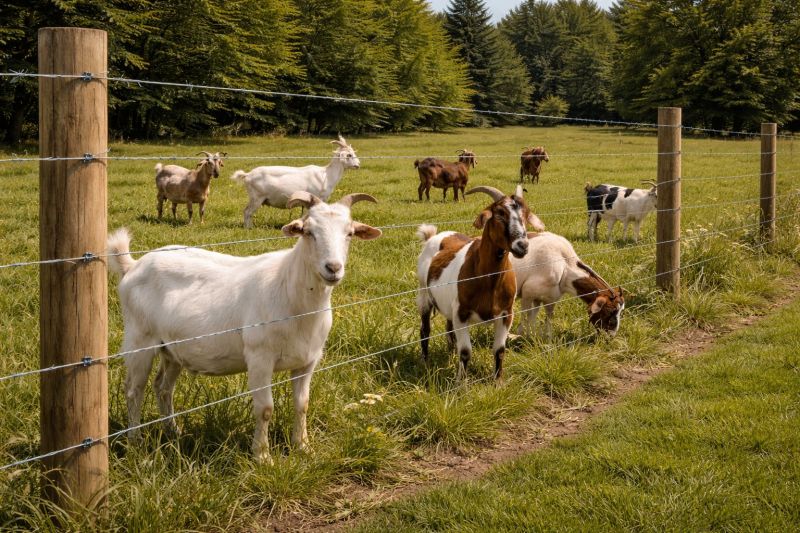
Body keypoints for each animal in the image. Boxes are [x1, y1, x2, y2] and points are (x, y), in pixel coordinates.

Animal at [107, 192, 381, 463]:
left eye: (349, 233)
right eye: (308, 231)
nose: (333, 268)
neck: (289, 289)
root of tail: (132, 266)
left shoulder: (308, 360)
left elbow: (302, 404)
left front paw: (303, 447)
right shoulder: (259, 358)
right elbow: (265, 409)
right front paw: (262, 457)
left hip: (172, 349)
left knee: (163, 388)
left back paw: (173, 431)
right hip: (140, 340)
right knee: (134, 390)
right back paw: (135, 441)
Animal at [230, 135, 360, 228]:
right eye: (349, 155)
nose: (358, 165)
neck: (326, 175)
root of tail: (248, 175)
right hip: (257, 197)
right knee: (247, 212)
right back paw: (249, 228)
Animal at [416, 185, 545, 380]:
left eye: (526, 214)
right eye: (499, 214)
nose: (522, 246)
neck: (489, 281)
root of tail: (434, 236)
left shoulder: (507, 314)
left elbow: (499, 350)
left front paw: (498, 381)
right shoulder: (461, 313)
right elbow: (465, 352)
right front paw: (461, 383)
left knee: (449, 327)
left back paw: (450, 353)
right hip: (423, 293)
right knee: (425, 330)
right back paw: (425, 362)